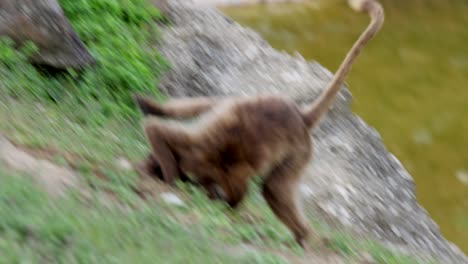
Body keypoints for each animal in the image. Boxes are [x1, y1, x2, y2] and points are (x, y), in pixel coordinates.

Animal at [134, 0, 384, 248]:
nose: (224, 204)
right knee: (272, 185)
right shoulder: (202, 148)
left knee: (272, 186)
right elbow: (156, 131)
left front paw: (162, 171)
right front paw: (166, 174)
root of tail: (300, 117)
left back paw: (302, 235)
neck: (221, 162)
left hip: (290, 143)